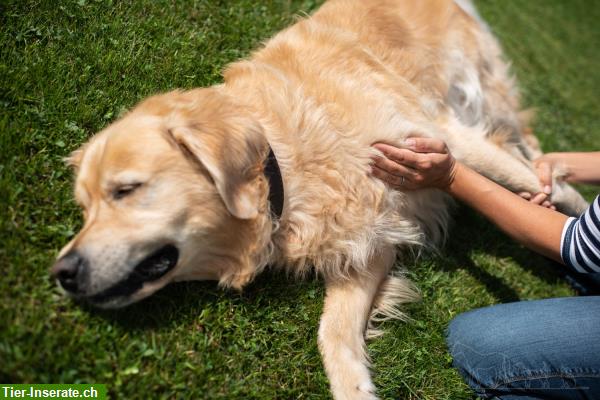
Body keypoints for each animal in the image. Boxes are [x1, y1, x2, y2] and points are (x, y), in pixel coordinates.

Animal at [51, 1, 584, 398]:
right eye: (84, 208)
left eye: (126, 189)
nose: (63, 272)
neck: (286, 159)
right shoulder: (368, 243)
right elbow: (333, 334)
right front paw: (356, 387)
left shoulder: (436, 136)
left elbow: (519, 177)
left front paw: (563, 205)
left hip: (481, 86)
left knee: (523, 139)